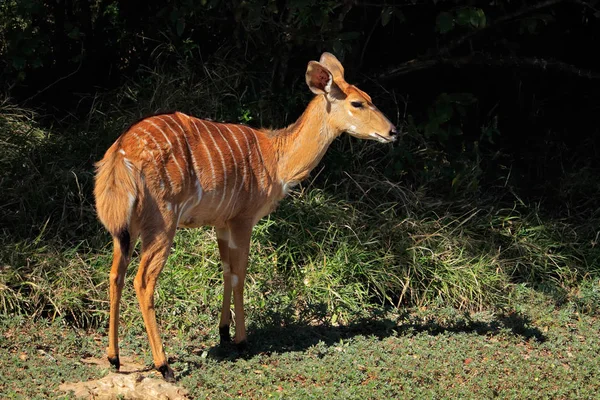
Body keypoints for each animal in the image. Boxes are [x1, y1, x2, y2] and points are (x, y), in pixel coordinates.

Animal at [95, 53, 398, 382]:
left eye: (369, 97)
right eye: (357, 102)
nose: (393, 131)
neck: (277, 158)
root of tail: (121, 153)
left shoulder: (222, 223)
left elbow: (226, 270)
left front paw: (224, 333)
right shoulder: (243, 218)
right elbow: (240, 274)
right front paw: (242, 341)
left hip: (127, 229)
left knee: (115, 274)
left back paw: (114, 358)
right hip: (163, 222)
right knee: (143, 280)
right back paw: (164, 366)